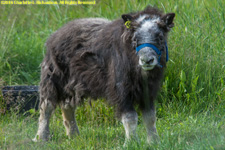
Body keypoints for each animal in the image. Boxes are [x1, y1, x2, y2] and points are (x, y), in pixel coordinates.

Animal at [33, 5, 175, 144]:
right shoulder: (122, 91)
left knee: (67, 106)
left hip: (73, 85)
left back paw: (74, 136)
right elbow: (130, 117)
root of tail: (55, 36)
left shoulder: (148, 92)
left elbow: (150, 117)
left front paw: (155, 142)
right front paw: (131, 142)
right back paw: (41, 137)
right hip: (53, 80)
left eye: (160, 37)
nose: (147, 60)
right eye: (135, 38)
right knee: (46, 107)